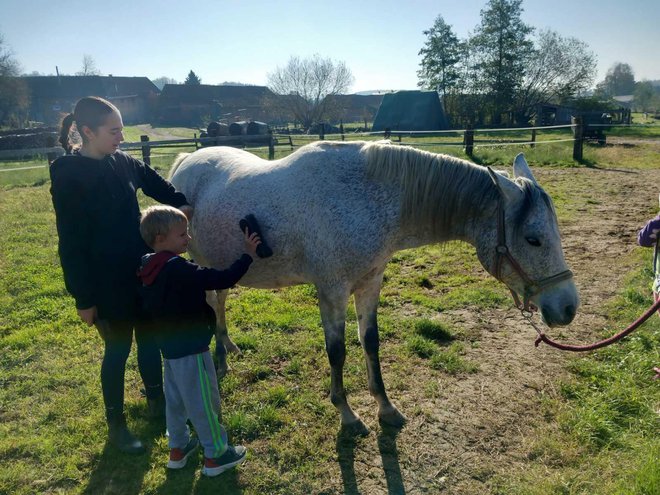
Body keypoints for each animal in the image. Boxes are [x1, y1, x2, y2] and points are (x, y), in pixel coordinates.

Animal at [169, 142, 576, 434]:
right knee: (213, 301)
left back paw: (227, 346)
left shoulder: (369, 283)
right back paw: (219, 354)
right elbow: (337, 352)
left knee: (220, 300)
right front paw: (347, 415)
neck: (363, 197)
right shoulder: (332, 290)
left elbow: (370, 342)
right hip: (201, 262)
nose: (568, 308)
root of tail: (187, 159)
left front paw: (386, 407)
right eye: (534, 239)